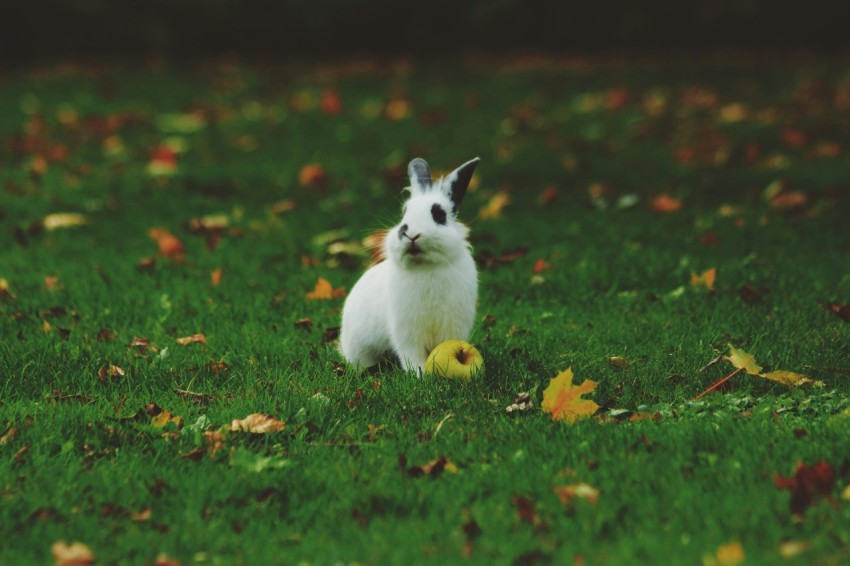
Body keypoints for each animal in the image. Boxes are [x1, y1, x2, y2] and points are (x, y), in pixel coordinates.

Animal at [340, 156, 480, 373]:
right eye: (404, 213)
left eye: (439, 215)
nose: (410, 234)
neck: (426, 266)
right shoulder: (406, 331)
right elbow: (411, 354)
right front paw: (419, 373)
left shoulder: (452, 326)